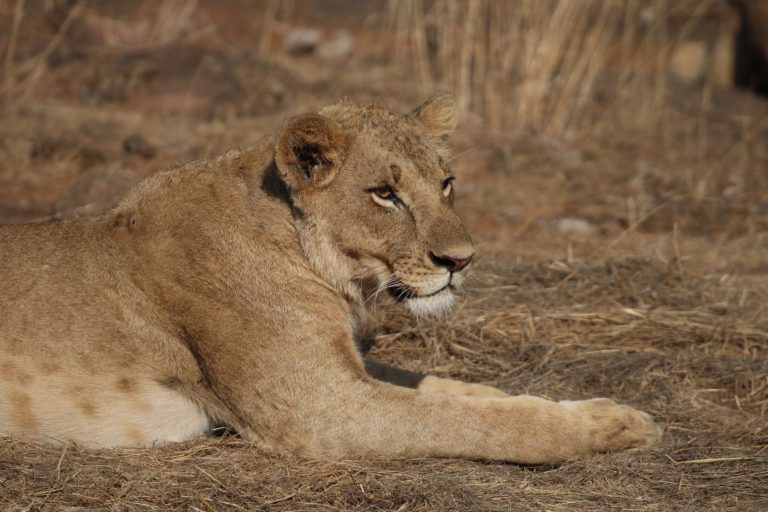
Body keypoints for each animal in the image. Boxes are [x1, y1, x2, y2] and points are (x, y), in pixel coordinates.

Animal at [0, 94, 660, 462]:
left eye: (446, 183)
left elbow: (469, 393)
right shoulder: (320, 409)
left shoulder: (345, 370)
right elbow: (476, 422)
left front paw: (598, 407)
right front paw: (611, 427)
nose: (461, 260)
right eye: (385, 194)